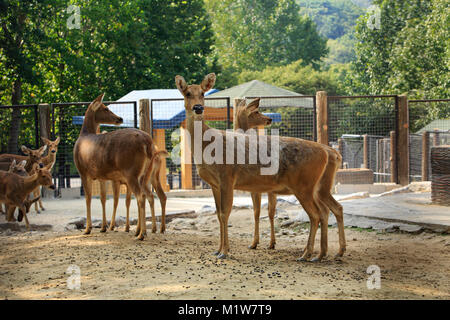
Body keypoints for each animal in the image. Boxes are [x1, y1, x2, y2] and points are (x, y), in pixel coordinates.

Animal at [74, 94, 163, 239]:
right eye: (105, 108)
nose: (120, 118)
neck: (84, 135)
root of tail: (148, 143)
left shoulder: (83, 171)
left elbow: (88, 198)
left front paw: (87, 229)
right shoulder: (101, 176)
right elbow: (103, 198)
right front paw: (103, 227)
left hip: (131, 172)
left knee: (141, 196)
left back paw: (142, 234)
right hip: (145, 173)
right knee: (148, 195)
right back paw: (141, 231)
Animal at [175, 74, 342, 262]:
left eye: (203, 93)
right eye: (187, 93)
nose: (198, 108)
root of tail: (327, 153)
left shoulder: (227, 177)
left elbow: (226, 213)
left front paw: (225, 251)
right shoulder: (214, 184)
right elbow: (219, 214)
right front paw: (217, 250)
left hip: (304, 185)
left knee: (316, 214)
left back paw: (307, 254)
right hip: (315, 187)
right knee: (327, 210)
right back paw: (322, 254)